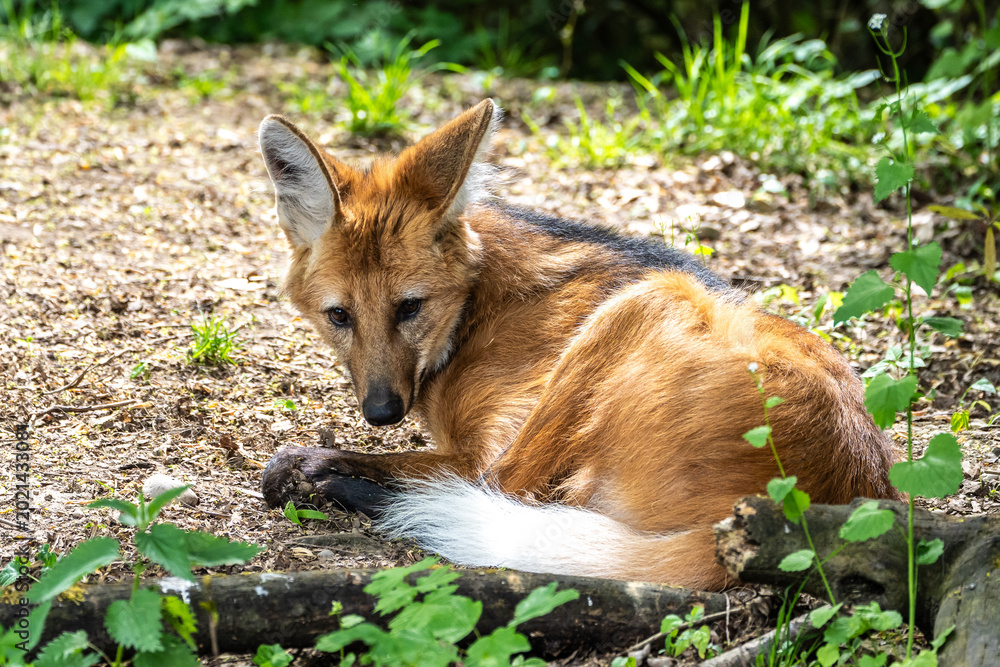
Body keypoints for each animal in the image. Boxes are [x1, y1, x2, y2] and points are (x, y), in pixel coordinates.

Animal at [256, 99, 900, 590]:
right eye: (339, 316)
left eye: (409, 307)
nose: (382, 411)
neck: (475, 311)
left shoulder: (482, 451)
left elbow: (441, 471)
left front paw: (308, 466)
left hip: (648, 301)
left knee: (497, 490)